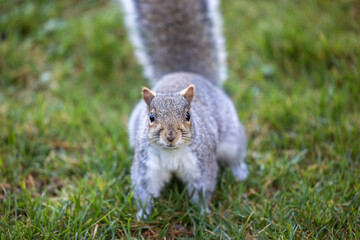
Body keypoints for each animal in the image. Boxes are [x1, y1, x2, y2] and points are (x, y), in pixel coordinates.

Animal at [119, 0, 249, 219]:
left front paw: (202, 213)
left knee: (235, 154)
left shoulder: (202, 164)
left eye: (188, 115)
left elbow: (202, 190)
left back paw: (239, 171)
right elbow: (144, 191)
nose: (171, 136)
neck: (171, 153)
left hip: (231, 137)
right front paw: (143, 214)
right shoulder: (147, 168)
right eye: (151, 117)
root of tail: (184, 72)